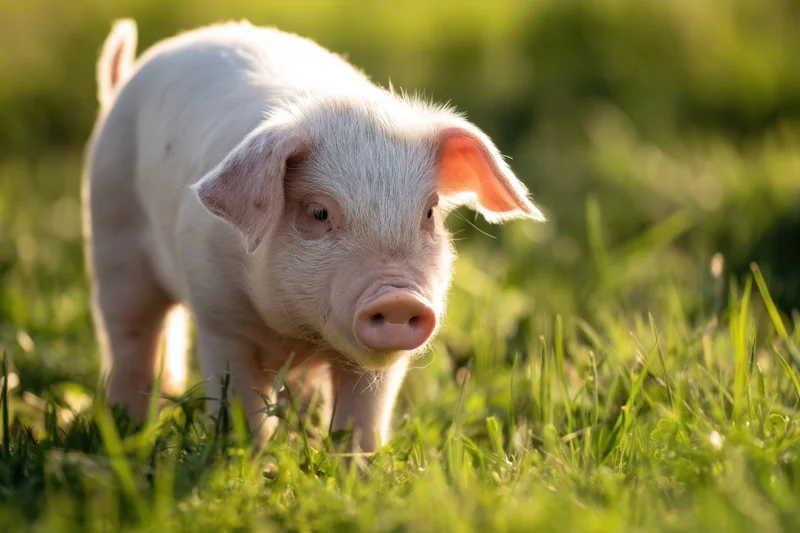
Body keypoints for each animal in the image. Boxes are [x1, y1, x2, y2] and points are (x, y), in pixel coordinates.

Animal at [82, 18, 544, 453]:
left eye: (429, 213)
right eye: (319, 212)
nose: (398, 297)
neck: (298, 333)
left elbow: (362, 420)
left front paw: (358, 470)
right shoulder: (219, 320)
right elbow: (242, 407)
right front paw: (246, 461)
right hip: (112, 232)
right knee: (132, 334)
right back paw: (129, 423)